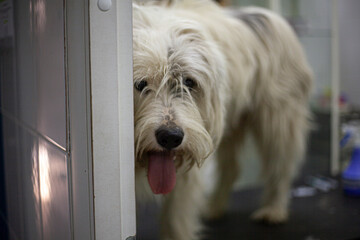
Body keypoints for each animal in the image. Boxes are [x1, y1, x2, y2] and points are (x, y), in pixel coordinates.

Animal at [132, 0, 312, 239]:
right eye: (140, 84)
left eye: (189, 82)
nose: (171, 137)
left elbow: (175, 220)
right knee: (232, 168)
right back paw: (216, 207)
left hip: (279, 121)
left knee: (280, 166)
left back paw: (274, 209)